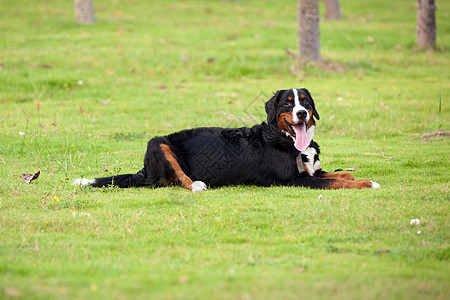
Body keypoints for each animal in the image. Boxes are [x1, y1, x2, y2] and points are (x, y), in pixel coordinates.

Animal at [74, 88, 380, 191]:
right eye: (286, 104)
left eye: (305, 101)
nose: (302, 113)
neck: (283, 138)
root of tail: (144, 171)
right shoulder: (294, 180)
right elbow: (340, 182)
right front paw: (370, 183)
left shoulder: (310, 172)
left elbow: (343, 175)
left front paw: (359, 177)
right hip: (157, 141)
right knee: (177, 179)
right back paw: (196, 184)